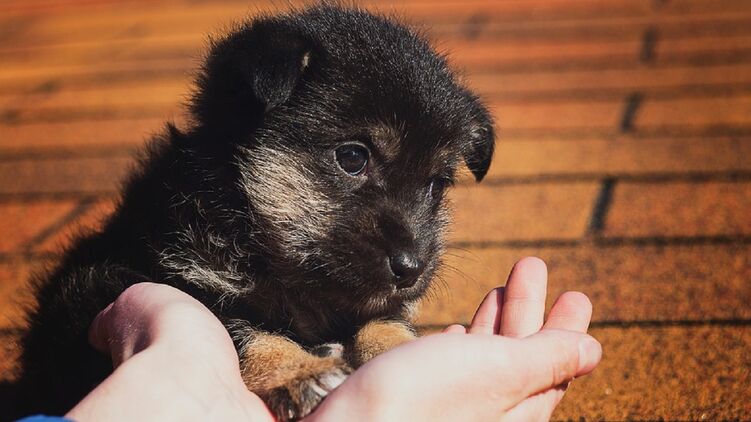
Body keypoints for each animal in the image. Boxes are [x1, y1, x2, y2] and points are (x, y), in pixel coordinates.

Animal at [14, 4, 496, 420]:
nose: (411, 269)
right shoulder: (126, 280)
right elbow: (242, 331)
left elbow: (383, 320)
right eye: (352, 157)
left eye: (435, 184)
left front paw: (404, 351)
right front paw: (301, 371)